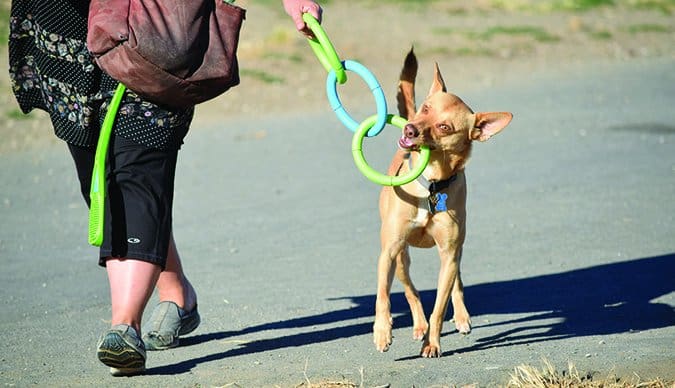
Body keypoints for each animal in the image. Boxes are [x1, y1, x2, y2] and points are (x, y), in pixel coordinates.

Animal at [374, 50, 512, 360]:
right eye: (425, 109)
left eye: (444, 127)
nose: (410, 129)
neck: (432, 186)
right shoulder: (389, 251)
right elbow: (384, 296)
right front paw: (382, 332)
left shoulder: (448, 254)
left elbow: (439, 305)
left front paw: (433, 343)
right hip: (401, 257)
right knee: (409, 289)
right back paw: (417, 325)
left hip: (454, 252)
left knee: (456, 283)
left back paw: (461, 317)